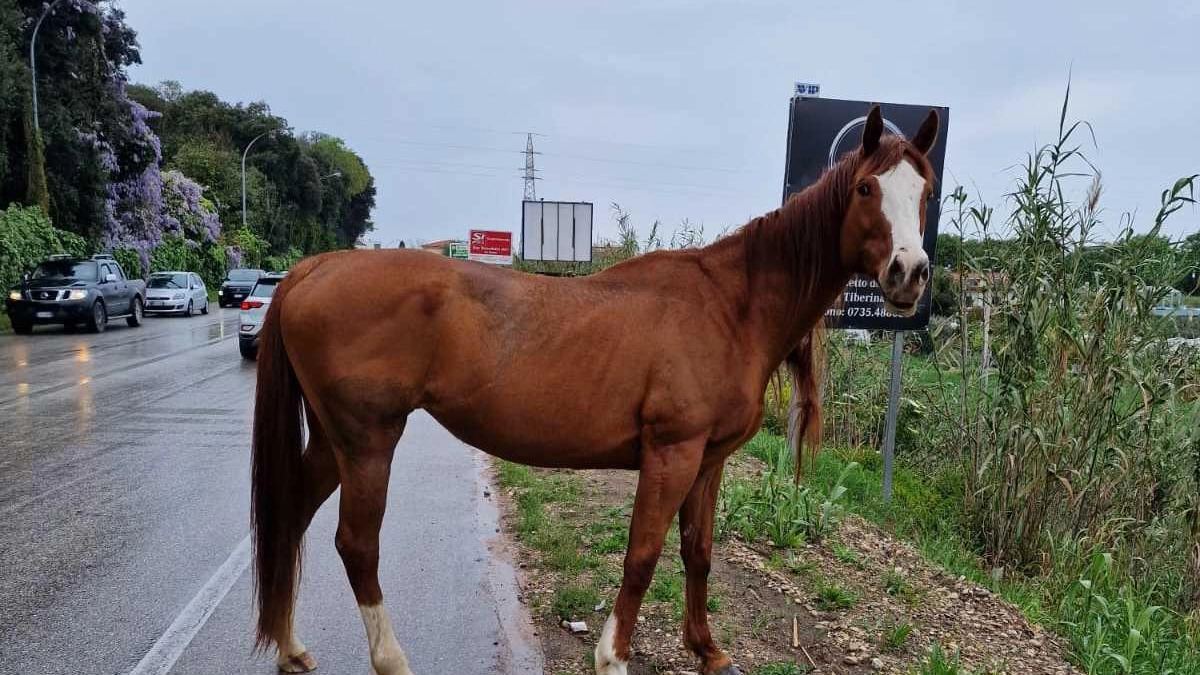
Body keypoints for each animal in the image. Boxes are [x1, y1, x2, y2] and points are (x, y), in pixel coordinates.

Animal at [253, 105, 936, 672]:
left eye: (925, 191)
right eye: (866, 188)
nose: (910, 273)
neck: (729, 306)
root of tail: (313, 268)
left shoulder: (708, 460)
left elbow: (698, 551)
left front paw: (707, 649)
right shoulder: (671, 454)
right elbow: (643, 555)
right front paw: (614, 656)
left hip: (334, 441)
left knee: (290, 516)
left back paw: (290, 647)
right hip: (368, 441)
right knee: (356, 545)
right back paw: (391, 659)